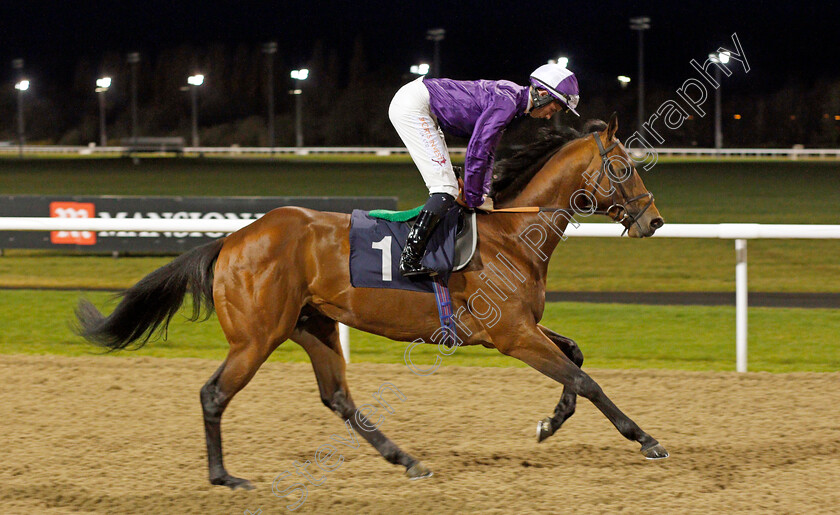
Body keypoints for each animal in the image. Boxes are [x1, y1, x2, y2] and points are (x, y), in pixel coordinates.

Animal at [79, 114, 668, 492]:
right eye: (623, 167)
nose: (654, 220)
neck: (512, 234)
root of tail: (232, 239)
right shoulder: (512, 335)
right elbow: (585, 379)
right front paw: (645, 438)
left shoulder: (524, 327)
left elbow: (576, 358)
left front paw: (550, 423)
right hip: (257, 336)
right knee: (213, 393)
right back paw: (224, 477)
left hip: (313, 325)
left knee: (338, 397)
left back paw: (406, 460)